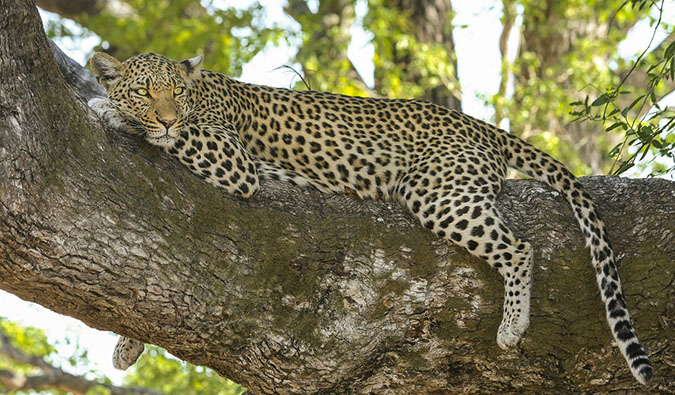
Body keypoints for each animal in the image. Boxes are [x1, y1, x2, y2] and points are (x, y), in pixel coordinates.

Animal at [87, 51, 652, 386]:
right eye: (145, 90)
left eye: (175, 93)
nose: (164, 116)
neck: (201, 93)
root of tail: (477, 124)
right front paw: (127, 344)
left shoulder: (233, 160)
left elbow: (180, 136)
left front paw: (107, 109)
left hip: (435, 191)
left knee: (519, 248)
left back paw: (513, 326)